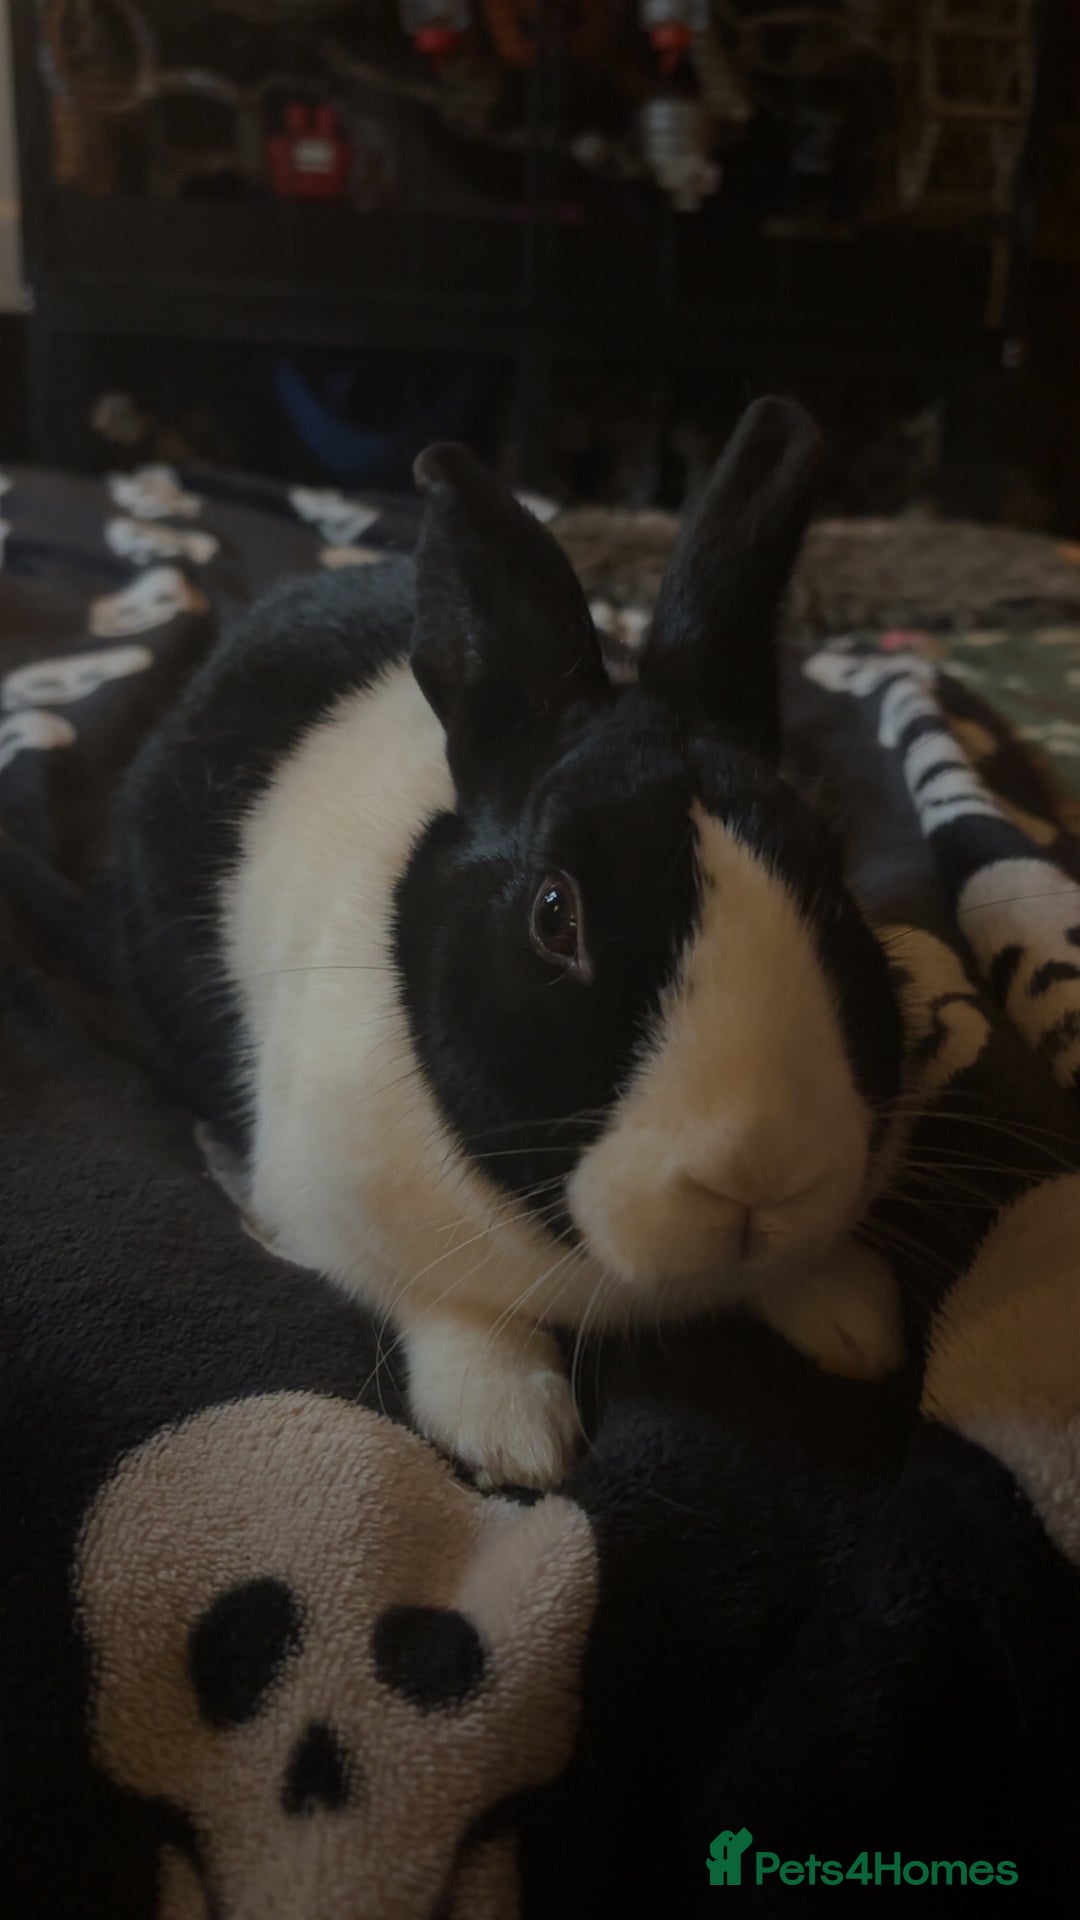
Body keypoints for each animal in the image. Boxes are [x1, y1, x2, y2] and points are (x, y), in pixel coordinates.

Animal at [112, 397, 906, 1490]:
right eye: (553, 915)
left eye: (830, 882)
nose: (759, 1182)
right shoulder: (324, 1207)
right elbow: (448, 1308)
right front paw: (514, 1436)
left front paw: (856, 1320)